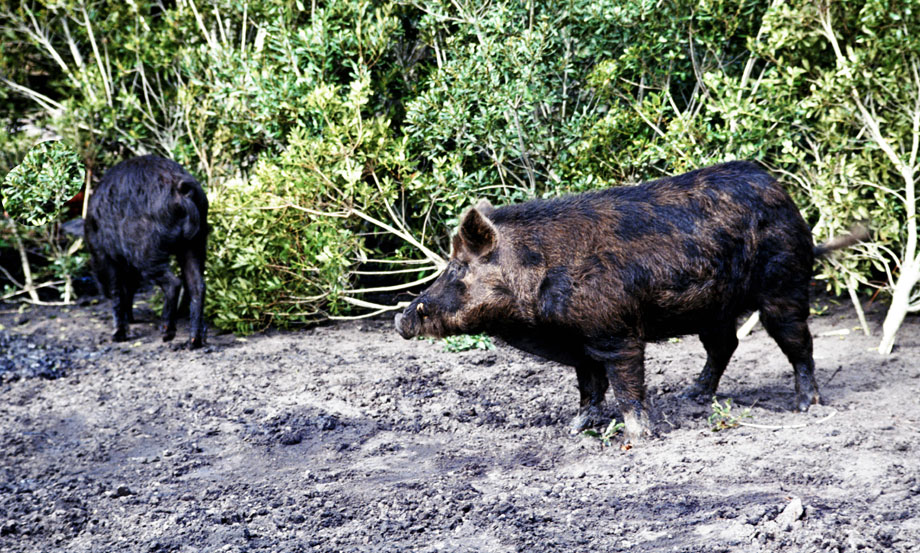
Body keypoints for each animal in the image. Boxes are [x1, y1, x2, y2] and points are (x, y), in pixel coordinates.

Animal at [85, 155, 208, 348]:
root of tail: (180, 188)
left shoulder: (107, 257)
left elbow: (117, 292)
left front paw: (117, 336)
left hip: (145, 249)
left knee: (173, 282)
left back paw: (166, 333)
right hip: (195, 242)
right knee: (197, 285)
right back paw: (193, 342)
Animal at [398, 161, 868, 440]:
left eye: (458, 268)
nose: (403, 318)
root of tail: (784, 194)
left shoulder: (615, 330)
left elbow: (625, 385)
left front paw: (641, 437)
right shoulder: (579, 342)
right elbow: (589, 388)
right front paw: (574, 428)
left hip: (783, 284)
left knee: (799, 343)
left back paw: (805, 406)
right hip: (713, 307)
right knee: (725, 345)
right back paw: (692, 396)